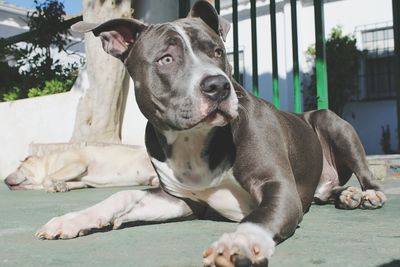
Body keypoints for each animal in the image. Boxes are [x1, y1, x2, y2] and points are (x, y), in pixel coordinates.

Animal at [4, 146, 159, 194]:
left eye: (19, 168)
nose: (4, 180)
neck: (50, 164)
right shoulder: (81, 180)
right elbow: (75, 183)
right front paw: (61, 186)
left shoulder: (77, 164)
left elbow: (46, 178)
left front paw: (53, 187)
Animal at [36, 1, 386, 266]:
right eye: (166, 59)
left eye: (217, 52)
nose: (218, 85)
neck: (195, 139)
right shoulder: (181, 201)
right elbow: (124, 194)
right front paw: (74, 219)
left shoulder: (279, 188)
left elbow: (256, 219)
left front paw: (238, 243)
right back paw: (347, 195)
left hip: (332, 122)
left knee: (364, 170)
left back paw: (366, 193)